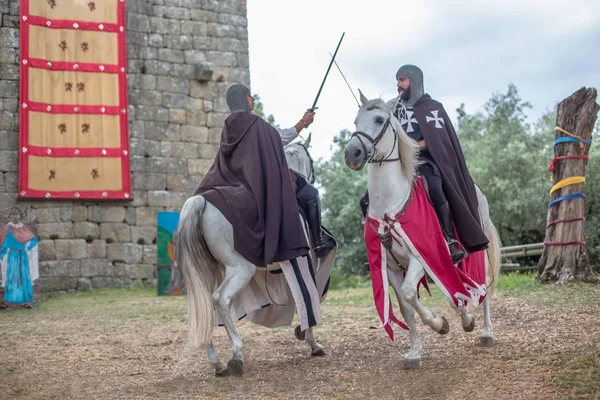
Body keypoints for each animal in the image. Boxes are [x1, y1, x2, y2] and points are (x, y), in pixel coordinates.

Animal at [173, 136, 332, 376]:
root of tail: (201, 201)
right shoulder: (307, 263)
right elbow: (308, 297)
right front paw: (312, 342)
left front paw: (302, 332)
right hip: (240, 269)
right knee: (221, 299)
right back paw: (237, 355)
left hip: (207, 270)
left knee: (204, 305)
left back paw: (218, 363)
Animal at [342, 93, 502, 368]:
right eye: (355, 120)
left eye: (379, 119)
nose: (352, 153)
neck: (389, 202)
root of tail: (477, 189)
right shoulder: (391, 267)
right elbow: (406, 307)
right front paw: (415, 352)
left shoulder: (421, 256)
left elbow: (410, 293)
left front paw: (440, 325)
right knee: (456, 286)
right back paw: (465, 316)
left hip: (476, 249)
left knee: (482, 285)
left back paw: (485, 331)